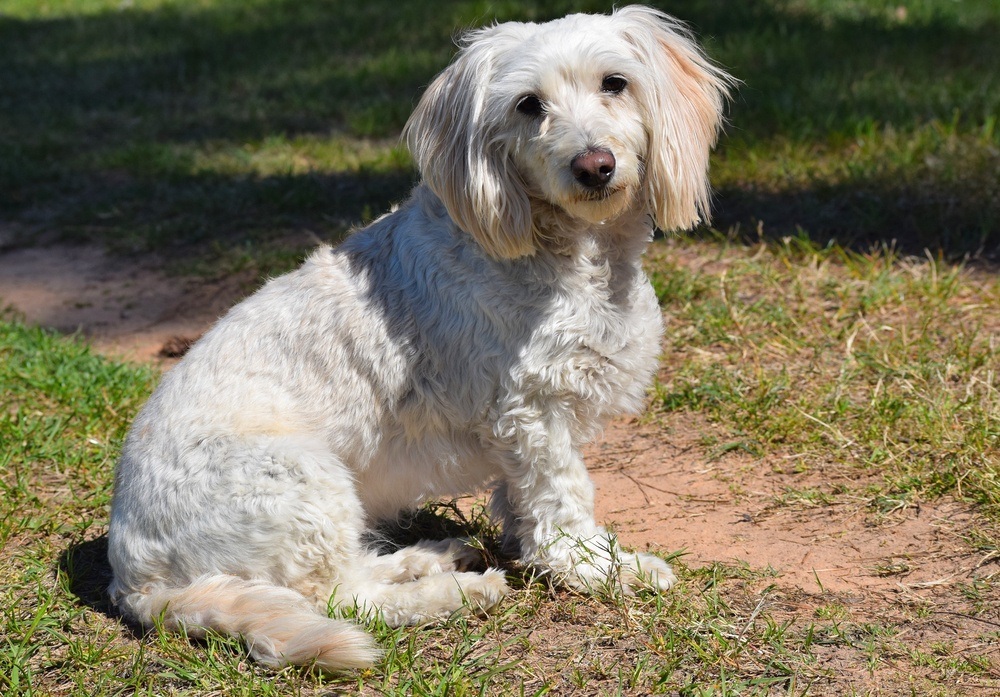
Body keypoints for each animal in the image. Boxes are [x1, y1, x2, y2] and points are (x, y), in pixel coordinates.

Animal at [109, 4, 732, 668]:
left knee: (355, 573)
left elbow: (521, 503)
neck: (565, 253)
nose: (594, 165)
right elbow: (562, 505)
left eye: (615, 83)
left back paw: (428, 557)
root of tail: (136, 582)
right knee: (343, 599)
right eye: (528, 105)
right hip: (304, 482)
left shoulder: (520, 430)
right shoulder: (533, 414)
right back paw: (456, 592)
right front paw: (600, 569)